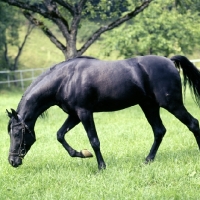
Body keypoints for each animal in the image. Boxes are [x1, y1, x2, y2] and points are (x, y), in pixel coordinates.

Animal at [6, 54, 200, 169]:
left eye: (17, 133)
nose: (12, 161)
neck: (65, 79)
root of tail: (170, 61)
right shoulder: (74, 115)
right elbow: (60, 135)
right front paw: (82, 154)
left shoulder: (85, 113)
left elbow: (94, 140)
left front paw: (101, 166)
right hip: (149, 106)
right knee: (159, 131)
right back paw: (148, 160)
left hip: (172, 104)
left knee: (193, 123)